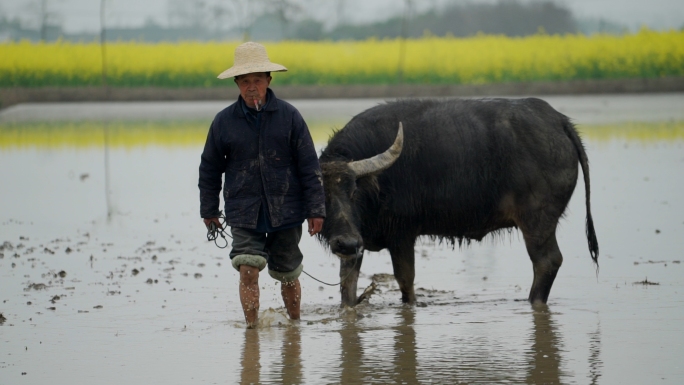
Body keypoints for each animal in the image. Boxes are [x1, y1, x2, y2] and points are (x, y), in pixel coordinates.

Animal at [318, 97, 596, 306]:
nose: (345, 242)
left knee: (547, 261)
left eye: (354, 192)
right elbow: (347, 285)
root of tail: (559, 121)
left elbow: (406, 281)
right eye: (322, 197)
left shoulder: (402, 235)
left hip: (538, 221)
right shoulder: (358, 241)